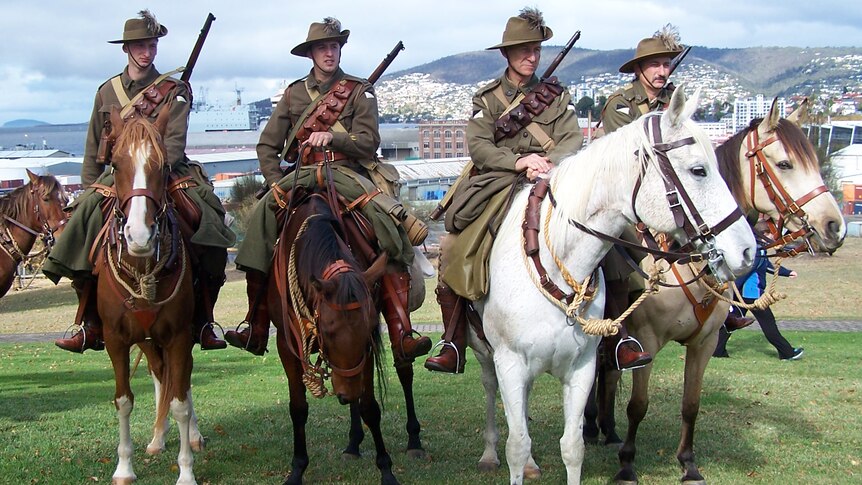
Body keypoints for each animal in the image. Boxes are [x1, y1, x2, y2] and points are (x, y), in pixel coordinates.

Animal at [96, 108, 199, 482]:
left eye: (164, 166)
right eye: (115, 164)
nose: (139, 236)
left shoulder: (180, 336)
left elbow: (180, 401)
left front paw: (186, 471)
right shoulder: (116, 340)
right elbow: (123, 400)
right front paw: (124, 467)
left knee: (180, 381)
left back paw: (190, 435)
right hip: (145, 338)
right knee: (158, 373)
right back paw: (157, 437)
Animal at [268, 191, 400, 482]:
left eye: (369, 329)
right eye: (327, 331)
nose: (345, 394)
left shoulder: (366, 353)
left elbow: (369, 407)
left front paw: (386, 469)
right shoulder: (285, 345)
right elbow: (298, 408)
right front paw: (297, 468)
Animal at [466, 85, 756, 482]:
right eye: (698, 170)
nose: (747, 250)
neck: (556, 266)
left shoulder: (582, 367)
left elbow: (573, 447)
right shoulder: (509, 363)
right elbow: (517, 443)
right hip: (485, 354)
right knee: (491, 392)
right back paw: (488, 452)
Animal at [588, 98, 852, 484]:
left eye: (817, 163)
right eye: (784, 164)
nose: (835, 226)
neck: (686, 255)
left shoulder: (705, 341)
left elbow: (691, 404)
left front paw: (688, 463)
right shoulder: (646, 338)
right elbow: (638, 405)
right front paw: (627, 465)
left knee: (606, 371)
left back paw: (606, 429)